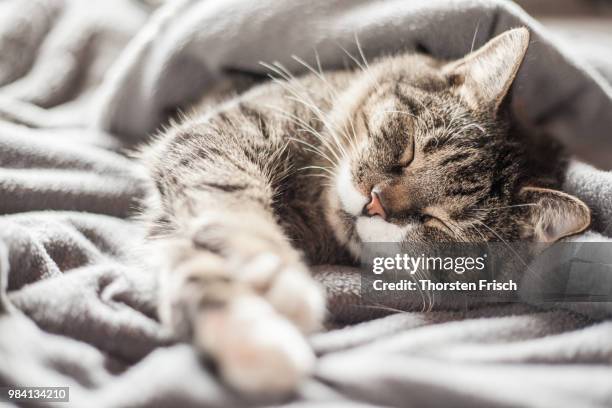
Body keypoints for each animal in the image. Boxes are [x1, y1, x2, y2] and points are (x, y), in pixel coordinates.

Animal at [139, 27, 588, 396]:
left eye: (439, 222)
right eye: (409, 149)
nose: (376, 203)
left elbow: (198, 264)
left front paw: (251, 333)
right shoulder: (216, 138)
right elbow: (230, 213)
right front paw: (269, 284)